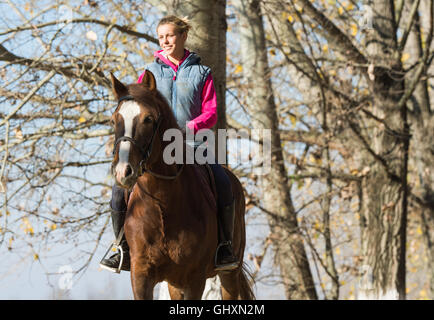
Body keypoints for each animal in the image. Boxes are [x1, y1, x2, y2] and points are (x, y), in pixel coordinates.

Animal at [108, 70, 254, 300]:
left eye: (148, 119)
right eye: (114, 120)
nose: (123, 172)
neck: (162, 204)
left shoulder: (194, 279)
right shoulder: (141, 276)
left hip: (230, 272)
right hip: (173, 283)